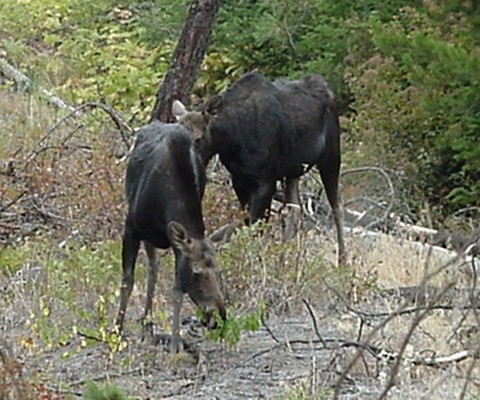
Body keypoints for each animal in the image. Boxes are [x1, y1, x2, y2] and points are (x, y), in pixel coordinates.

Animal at [115, 120, 226, 352]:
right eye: (197, 273)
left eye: (219, 271)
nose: (219, 315)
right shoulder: (131, 227)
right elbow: (127, 280)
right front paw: (116, 332)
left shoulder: (178, 247)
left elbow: (176, 289)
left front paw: (176, 344)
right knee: (152, 267)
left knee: (153, 267)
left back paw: (148, 326)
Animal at [172, 72, 346, 265]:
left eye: (198, 138)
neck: (230, 139)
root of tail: (329, 90)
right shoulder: (239, 179)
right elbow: (249, 223)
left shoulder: (265, 181)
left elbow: (256, 227)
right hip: (293, 170)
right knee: (296, 209)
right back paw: (282, 261)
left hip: (331, 156)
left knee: (337, 206)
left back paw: (342, 262)